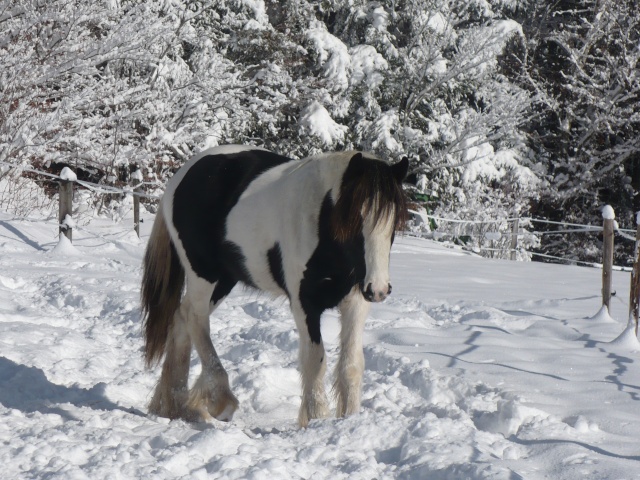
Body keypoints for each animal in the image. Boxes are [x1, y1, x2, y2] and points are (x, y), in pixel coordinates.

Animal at [142, 144, 408, 426]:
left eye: (394, 222)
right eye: (356, 217)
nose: (379, 289)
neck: (322, 220)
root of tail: (182, 175)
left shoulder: (355, 301)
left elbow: (352, 365)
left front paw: (349, 419)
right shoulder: (304, 304)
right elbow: (315, 361)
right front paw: (316, 420)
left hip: (224, 279)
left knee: (182, 318)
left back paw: (175, 405)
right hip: (203, 274)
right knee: (195, 319)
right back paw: (220, 400)